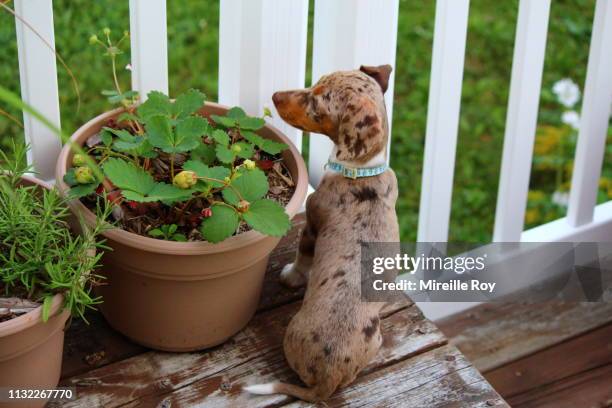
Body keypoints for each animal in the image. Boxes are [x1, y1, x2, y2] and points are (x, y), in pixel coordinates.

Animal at [246, 65, 400, 404]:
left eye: (317, 104)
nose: (275, 96)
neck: (362, 169)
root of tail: (325, 382)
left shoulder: (312, 225)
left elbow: (302, 258)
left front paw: (290, 276)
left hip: (292, 332)